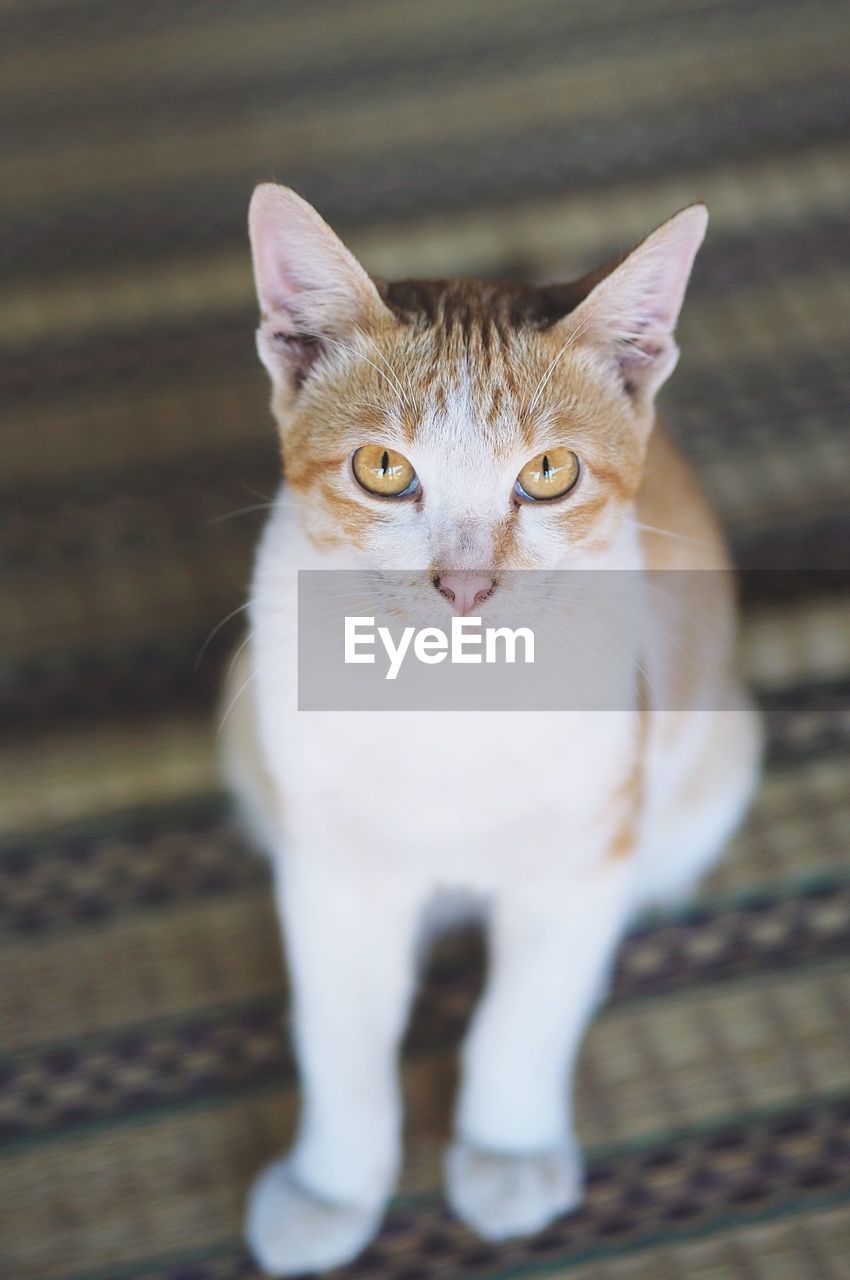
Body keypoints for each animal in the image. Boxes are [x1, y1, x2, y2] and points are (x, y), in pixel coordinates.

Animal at [220, 185, 762, 1274]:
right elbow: (340, 1030)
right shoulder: (331, 869)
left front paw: (506, 1149)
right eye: (383, 467)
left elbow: (527, 1013)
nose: (465, 587)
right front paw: (331, 1184)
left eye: (548, 471)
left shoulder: (584, 854)